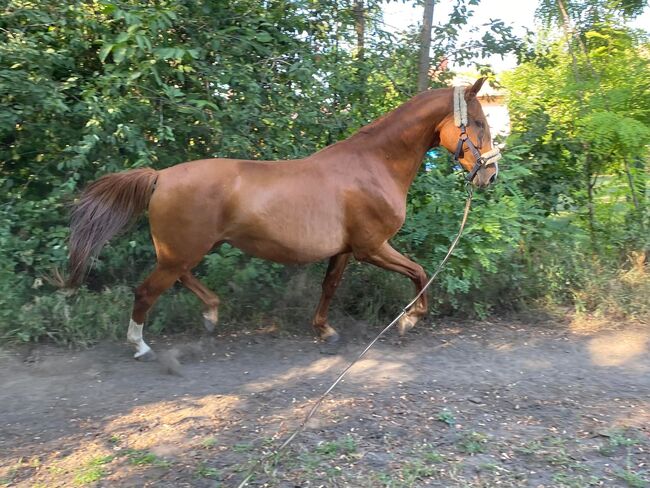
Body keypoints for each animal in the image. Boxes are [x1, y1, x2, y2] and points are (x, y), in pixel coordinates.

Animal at [68, 76, 498, 358]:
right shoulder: (371, 247)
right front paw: (409, 320)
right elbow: (420, 273)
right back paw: (141, 346)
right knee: (147, 291)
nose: (490, 175)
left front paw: (325, 331)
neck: (374, 165)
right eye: (478, 123)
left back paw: (210, 313)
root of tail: (160, 176)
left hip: (183, 250)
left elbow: (329, 287)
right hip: (181, 251)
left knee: (181, 278)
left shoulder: (345, 250)